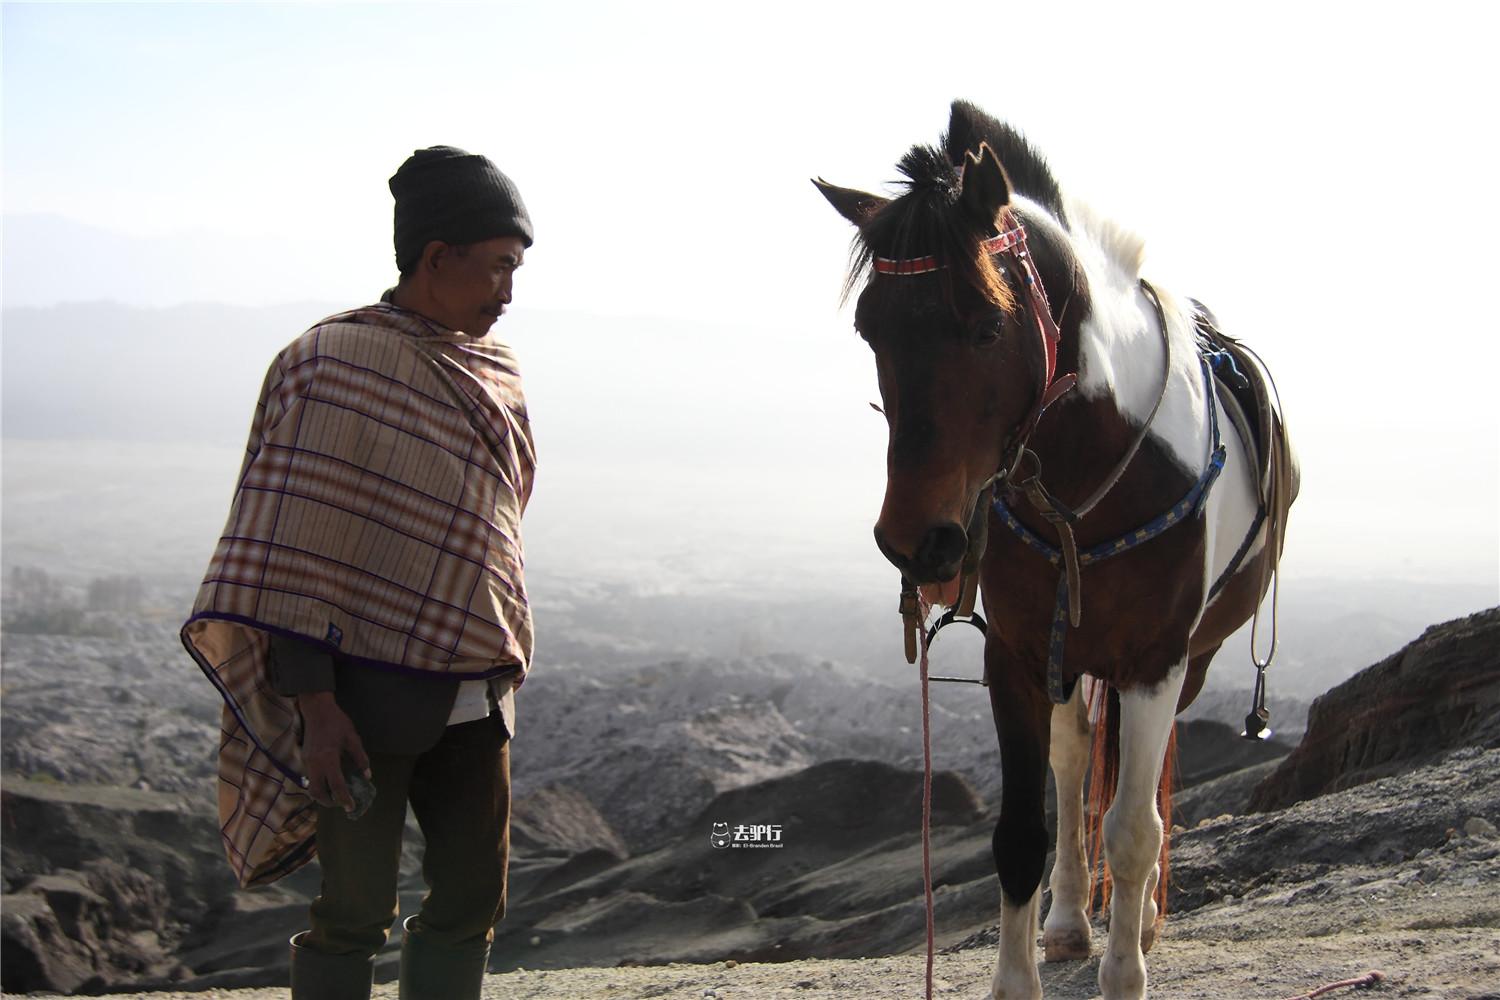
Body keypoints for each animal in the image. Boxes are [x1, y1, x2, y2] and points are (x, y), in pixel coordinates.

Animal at [816, 103, 1296, 1000]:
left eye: (987, 324)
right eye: (869, 328)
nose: (917, 541)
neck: (1091, 475)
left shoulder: (1156, 658)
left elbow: (1134, 828)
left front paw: (1126, 970)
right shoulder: (1016, 651)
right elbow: (1022, 833)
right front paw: (1021, 973)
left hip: (1191, 657)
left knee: (1145, 784)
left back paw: (1141, 918)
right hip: (1067, 654)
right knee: (1075, 767)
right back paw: (1072, 920)